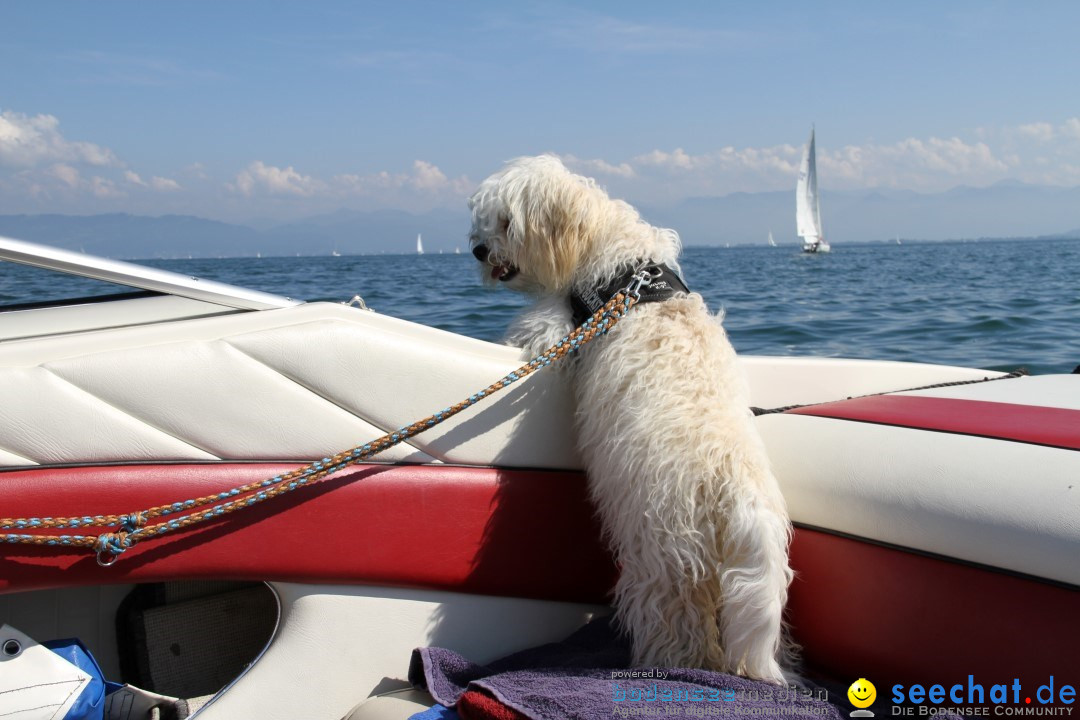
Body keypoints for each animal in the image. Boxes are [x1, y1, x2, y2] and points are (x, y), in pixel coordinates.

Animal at [468, 155, 799, 686]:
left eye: (505, 221)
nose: (478, 250)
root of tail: (736, 489)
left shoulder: (556, 324)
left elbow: (529, 336)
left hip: (664, 557)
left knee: (678, 624)